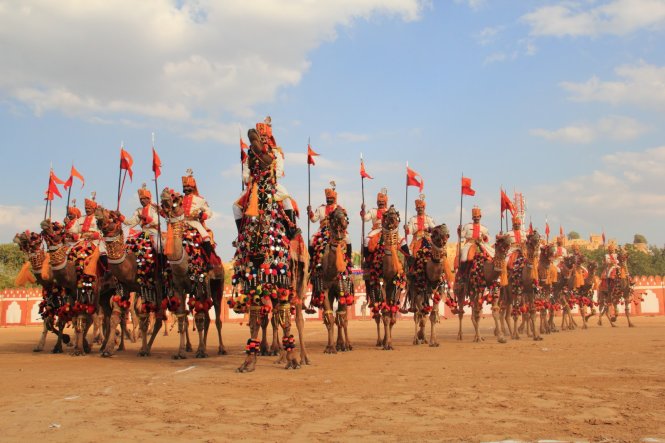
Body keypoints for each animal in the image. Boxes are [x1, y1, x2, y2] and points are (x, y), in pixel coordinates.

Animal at [360, 206, 402, 352]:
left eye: (396, 214)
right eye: (385, 214)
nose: (392, 218)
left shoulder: (396, 284)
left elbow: (392, 315)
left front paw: (389, 342)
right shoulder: (380, 282)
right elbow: (385, 315)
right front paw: (387, 344)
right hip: (371, 286)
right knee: (377, 314)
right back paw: (379, 341)